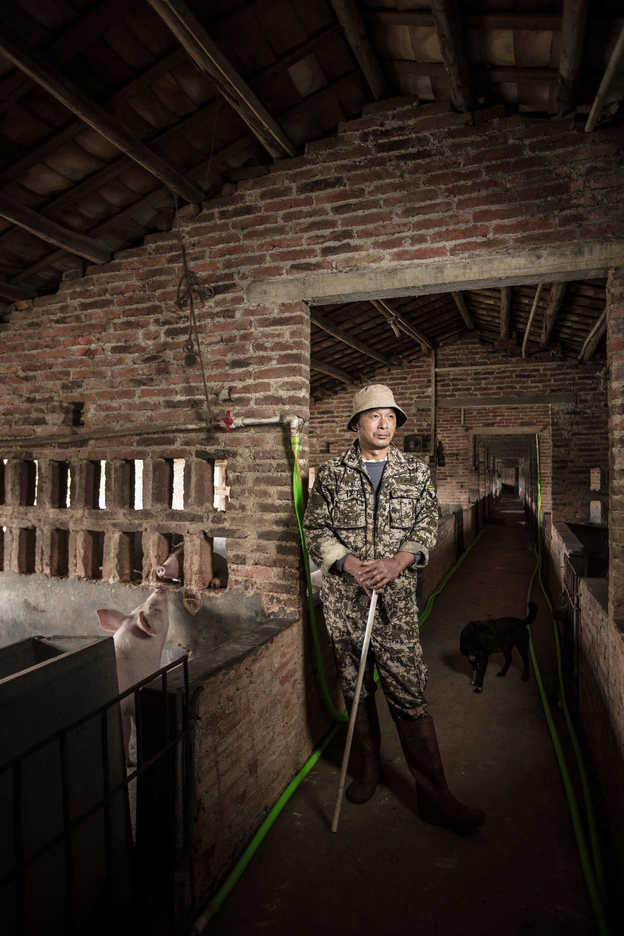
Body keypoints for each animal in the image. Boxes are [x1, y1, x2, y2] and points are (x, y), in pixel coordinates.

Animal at [97, 588, 171, 764]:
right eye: (154, 609)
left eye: (137, 606)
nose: (159, 588)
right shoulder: (135, 699)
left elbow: (126, 732)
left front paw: (129, 762)